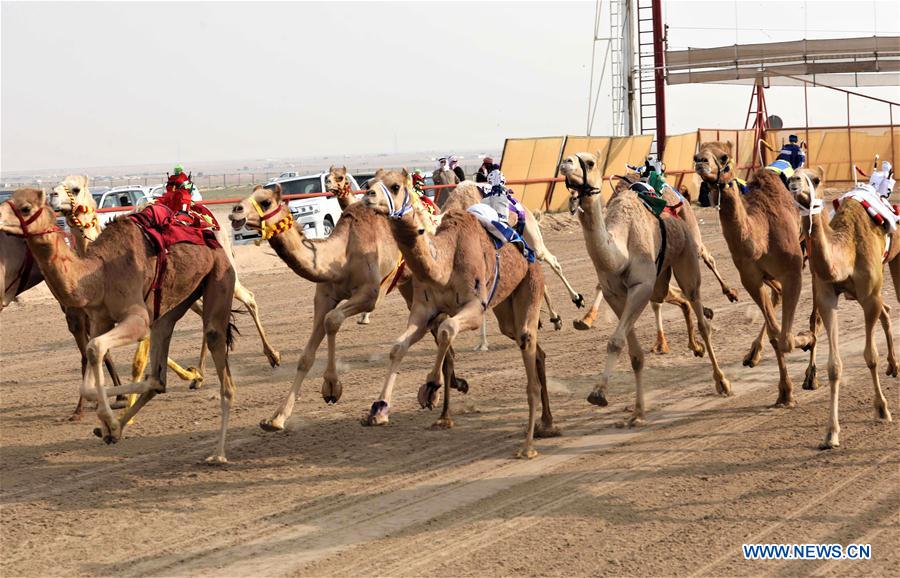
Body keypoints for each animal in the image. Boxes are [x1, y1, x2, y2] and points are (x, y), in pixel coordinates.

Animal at [0, 188, 238, 463]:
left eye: (25, 208)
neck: (98, 274)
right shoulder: (100, 319)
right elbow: (91, 367)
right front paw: (109, 425)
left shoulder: (137, 318)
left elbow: (94, 349)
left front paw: (108, 420)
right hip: (175, 303)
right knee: (158, 376)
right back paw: (121, 426)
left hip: (221, 275)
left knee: (219, 355)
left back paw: (218, 454)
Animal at [363, 169, 555, 458]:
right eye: (370, 182)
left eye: (395, 186)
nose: (368, 196)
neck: (444, 262)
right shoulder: (423, 311)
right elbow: (398, 347)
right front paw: (379, 409)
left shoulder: (474, 308)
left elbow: (447, 330)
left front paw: (431, 389)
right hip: (506, 311)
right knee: (535, 350)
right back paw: (547, 423)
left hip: (530, 284)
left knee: (528, 344)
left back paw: (529, 446)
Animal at [560, 152, 731, 426]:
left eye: (589, 162)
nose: (565, 162)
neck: (620, 251)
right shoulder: (615, 295)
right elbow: (633, 353)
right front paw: (637, 412)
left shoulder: (641, 287)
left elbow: (615, 341)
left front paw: (598, 393)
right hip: (661, 279)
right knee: (676, 299)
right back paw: (696, 346)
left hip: (688, 256)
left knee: (698, 307)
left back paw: (722, 380)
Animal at [694, 141, 814, 407]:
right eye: (698, 152)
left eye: (724, 157)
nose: (700, 162)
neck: (761, 236)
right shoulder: (750, 278)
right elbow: (776, 334)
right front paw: (785, 393)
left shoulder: (792, 272)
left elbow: (786, 338)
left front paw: (807, 339)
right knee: (776, 298)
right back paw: (752, 355)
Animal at [789, 167, 897, 448]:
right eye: (789, 176)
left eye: (815, 179)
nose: (794, 181)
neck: (847, 252)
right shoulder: (828, 298)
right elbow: (834, 366)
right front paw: (830, 434)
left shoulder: (868, 297)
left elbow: (870, 356)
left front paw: (882, 409)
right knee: (887, 311)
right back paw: (894, 366)